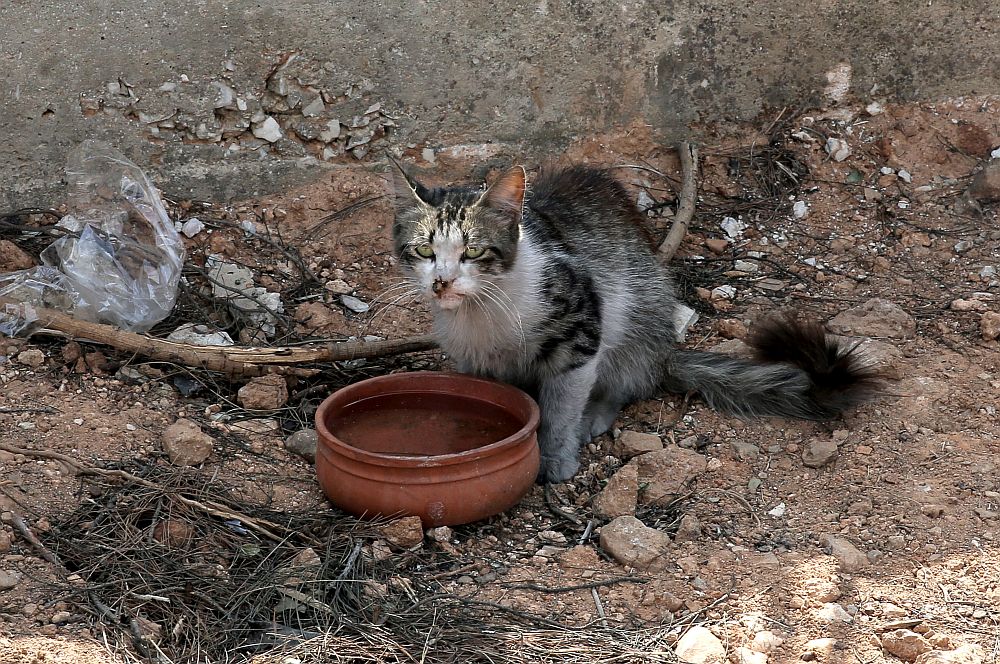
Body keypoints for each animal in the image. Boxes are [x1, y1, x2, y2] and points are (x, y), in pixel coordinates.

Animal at [390, 161, 884, 482]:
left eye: (473, 250)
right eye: (423, 250)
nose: (442, 282)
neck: (485, 310)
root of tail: (665, 351)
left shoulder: (582, 332)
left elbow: (560, 409)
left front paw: (555, 460)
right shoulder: (472, 360)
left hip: (635, 317)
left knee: (625, 382)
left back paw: (595, 415)